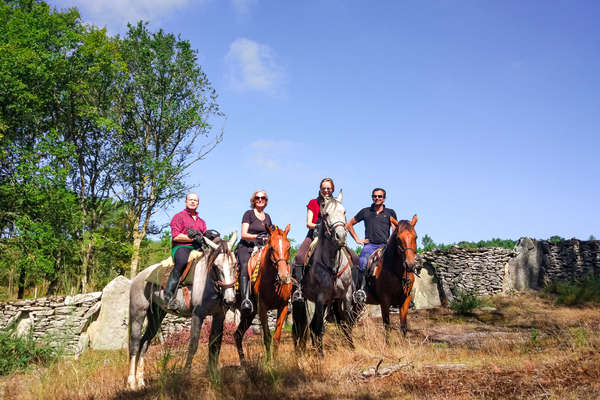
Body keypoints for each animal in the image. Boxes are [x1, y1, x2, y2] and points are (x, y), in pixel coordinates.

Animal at [126, 233, 237, 390]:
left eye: (234, 265)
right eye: (216, 266)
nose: (230, 299)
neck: (208, 282)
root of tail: (139, 277)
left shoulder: (219, 316)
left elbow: (215, 345)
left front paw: (213, 376)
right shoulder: (198, 315)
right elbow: (193, 345)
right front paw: (186, 376)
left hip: (156, 316)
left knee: (144, 343)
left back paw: (141, 381)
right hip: (138, 313)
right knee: (135, 344)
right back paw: (132, 383)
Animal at [233, 225, 292, 362]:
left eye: (289, 247)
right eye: (272, 248)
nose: (283, 277)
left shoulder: (283, 307)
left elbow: (276, 337)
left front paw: (276, 362)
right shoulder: (263, 308)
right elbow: (267, 337)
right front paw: (269, 363)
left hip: (249, 314)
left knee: (237, 334)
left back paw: (244, 363)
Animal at [292, 192, 354, 358]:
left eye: (344, 212)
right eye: (326, 214)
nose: (341, 236)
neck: (332, 265)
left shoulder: (345, 296)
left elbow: (348, 323)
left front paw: (352, 348)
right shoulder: (320, 298)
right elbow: (319, 326)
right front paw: (321, 355)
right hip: (304, 303)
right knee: (302, 327)